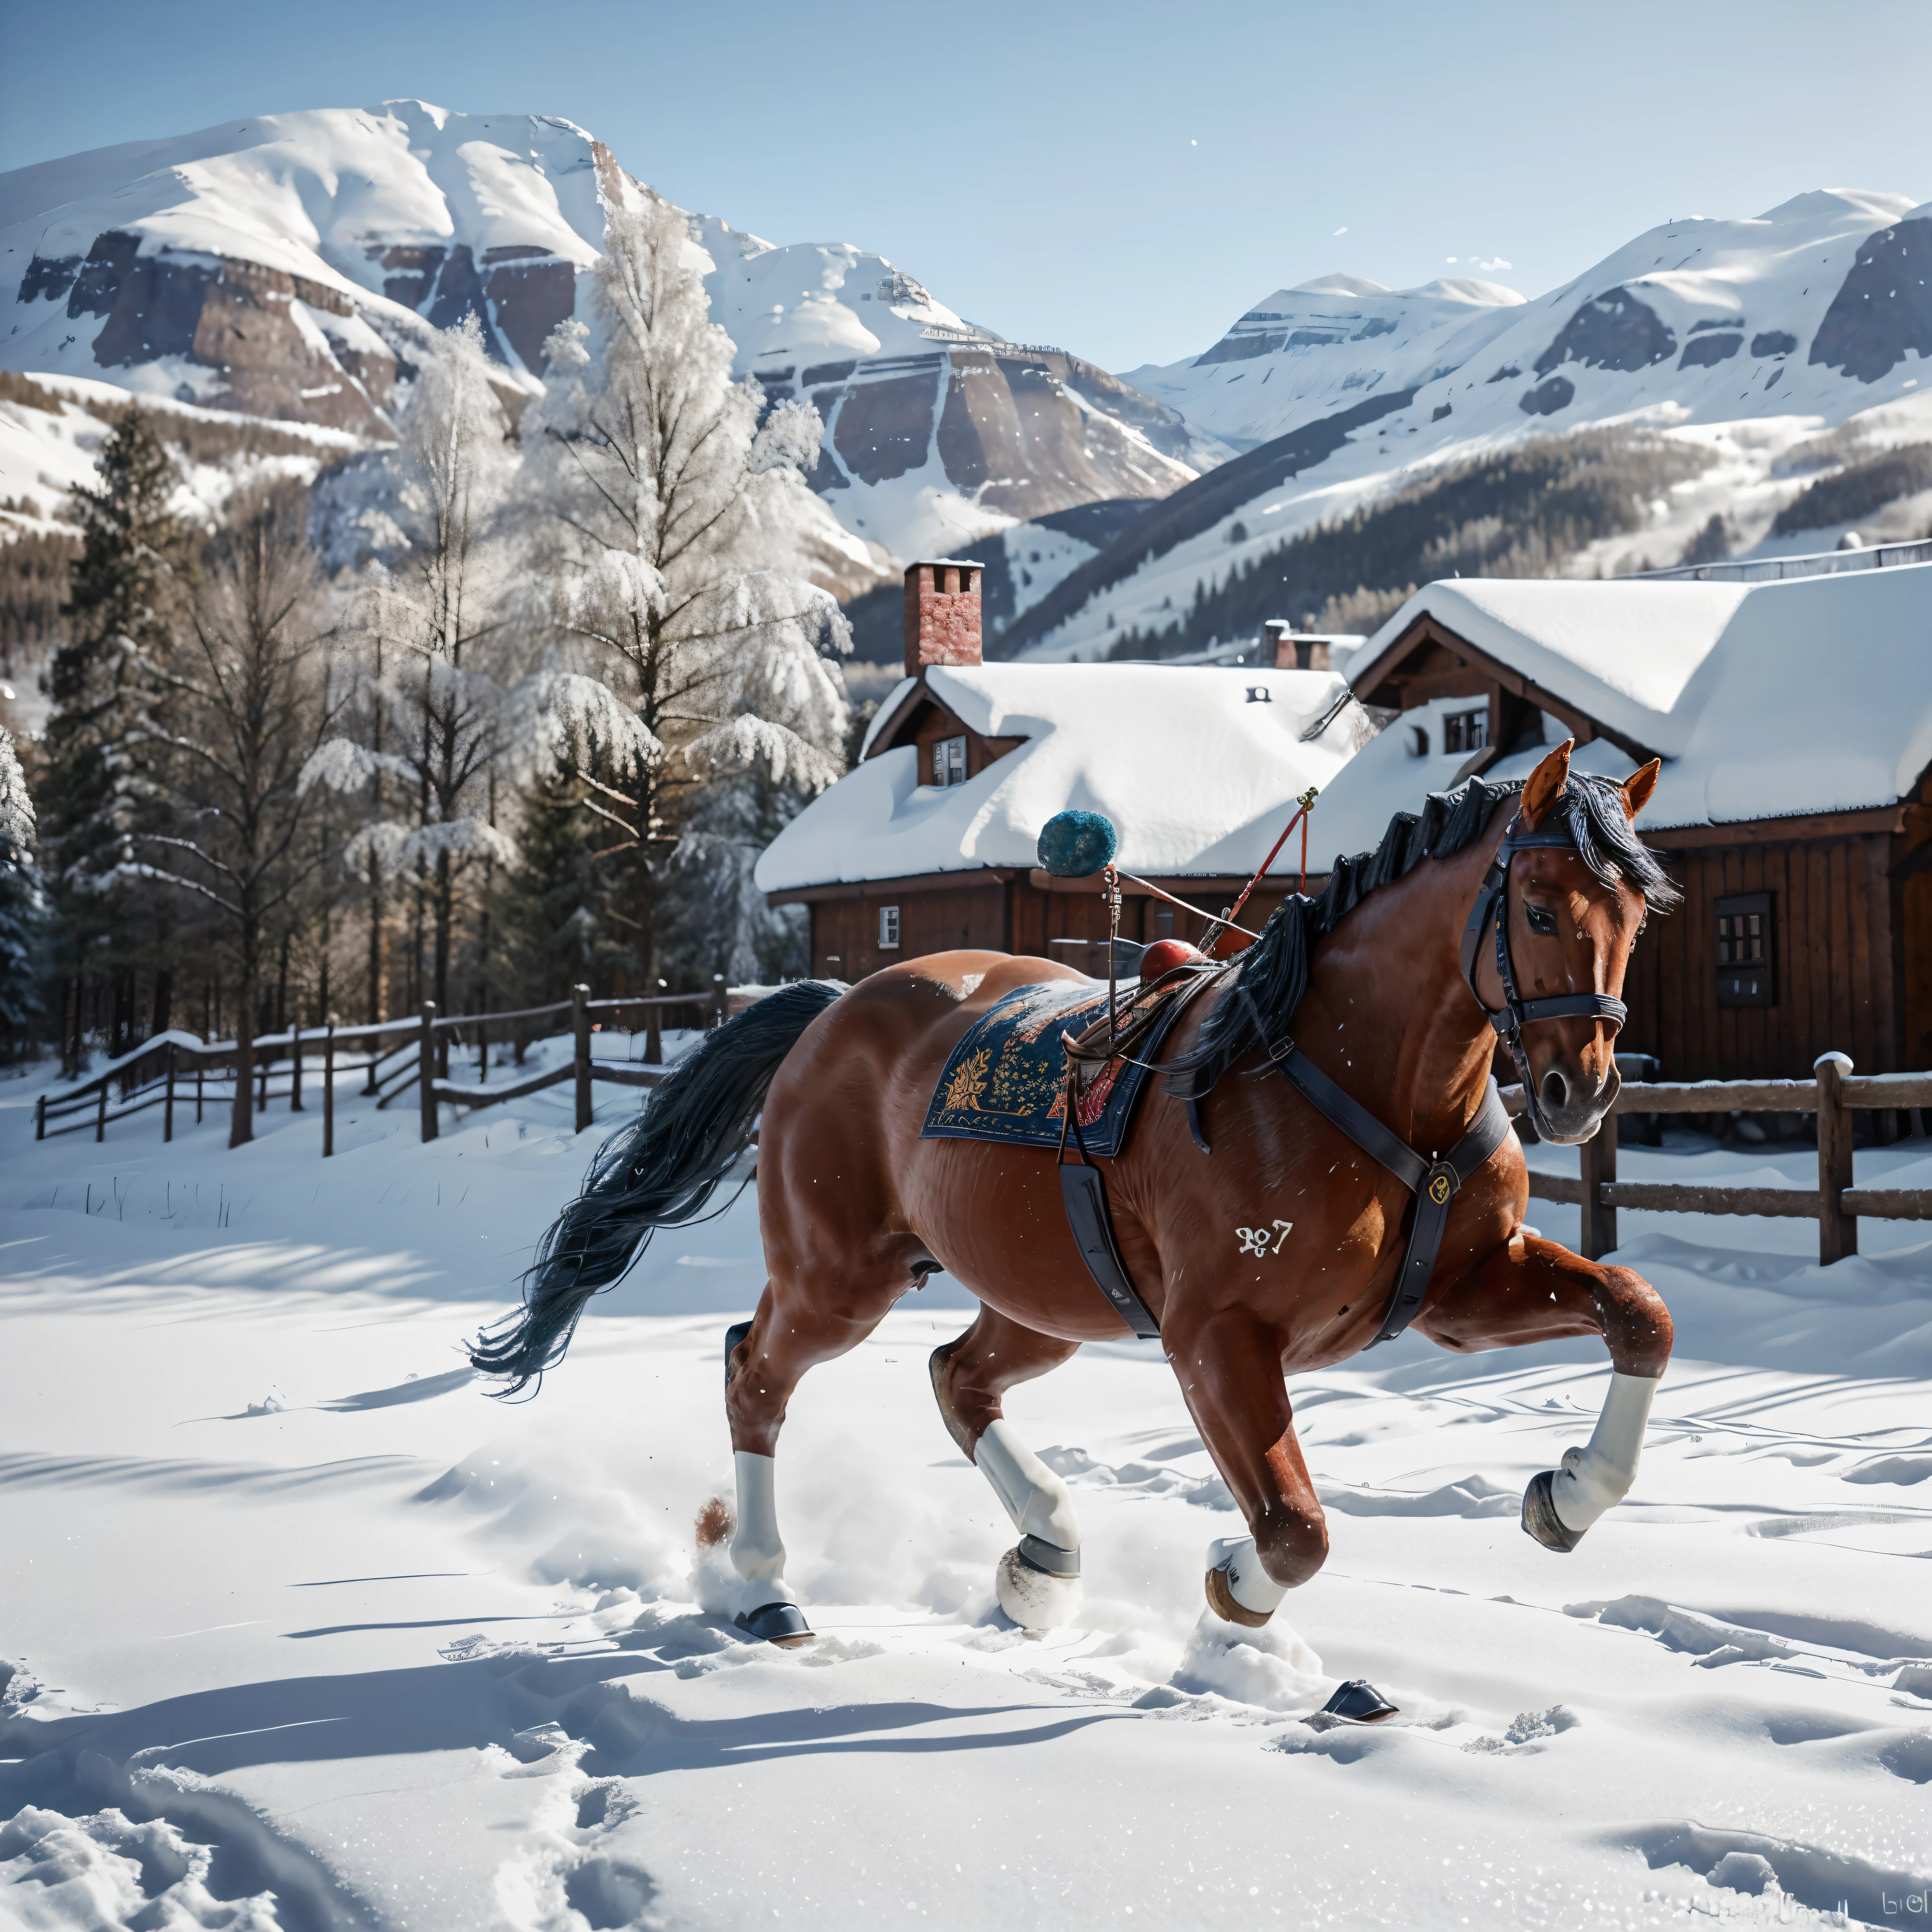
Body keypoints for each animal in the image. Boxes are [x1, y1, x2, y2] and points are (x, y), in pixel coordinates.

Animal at [479, 746, 1677, 1654]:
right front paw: (1234, 1583)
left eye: (1636, 916)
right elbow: (1293, 1527)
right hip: (839, 1277)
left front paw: (1570, 1491)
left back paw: (1042, 1551)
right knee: (756, 1373)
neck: (1355, 1081)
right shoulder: (1214, 1335)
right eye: (1536, 907)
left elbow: (1638, 1312)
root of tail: (829, 1007)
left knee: (954, 1376)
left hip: (1047, 1296)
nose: (1582, 1090)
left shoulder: (1462, 1287)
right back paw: (767, 1581)